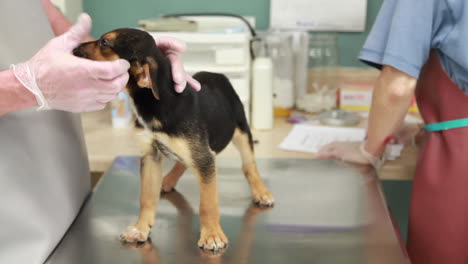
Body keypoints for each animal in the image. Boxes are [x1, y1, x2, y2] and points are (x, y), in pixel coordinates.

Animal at [73, 28, 274, 252]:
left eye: (104, 43)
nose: (74, 48)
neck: (155, 105)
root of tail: (217, 74)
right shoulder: (151, 156)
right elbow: (146, 198)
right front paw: (141, 228)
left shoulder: (204, 160)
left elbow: (208, 204)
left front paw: (212, 234)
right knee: (182, 163)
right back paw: (167, 181)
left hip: (240, 131)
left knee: (249, 166)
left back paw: (261, 192)